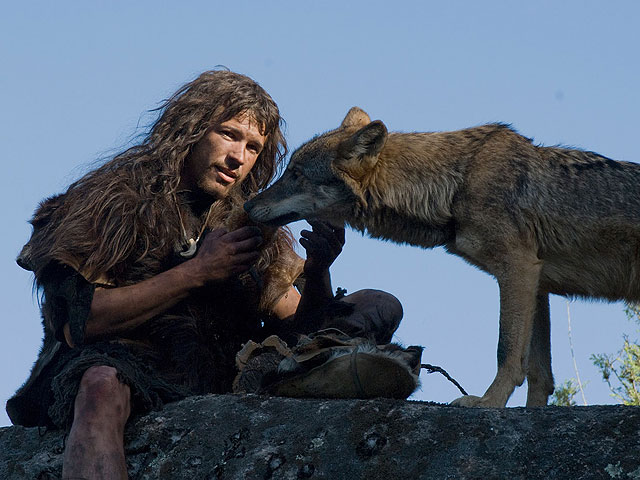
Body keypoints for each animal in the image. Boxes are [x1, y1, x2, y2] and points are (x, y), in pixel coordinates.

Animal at [244, 107, 640, 407]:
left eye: (295, 174)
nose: (247, 205)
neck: (455, 184)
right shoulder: (537, 281)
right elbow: (539, 372)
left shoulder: (519, 269)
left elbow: (508, 353)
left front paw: (488, 404)